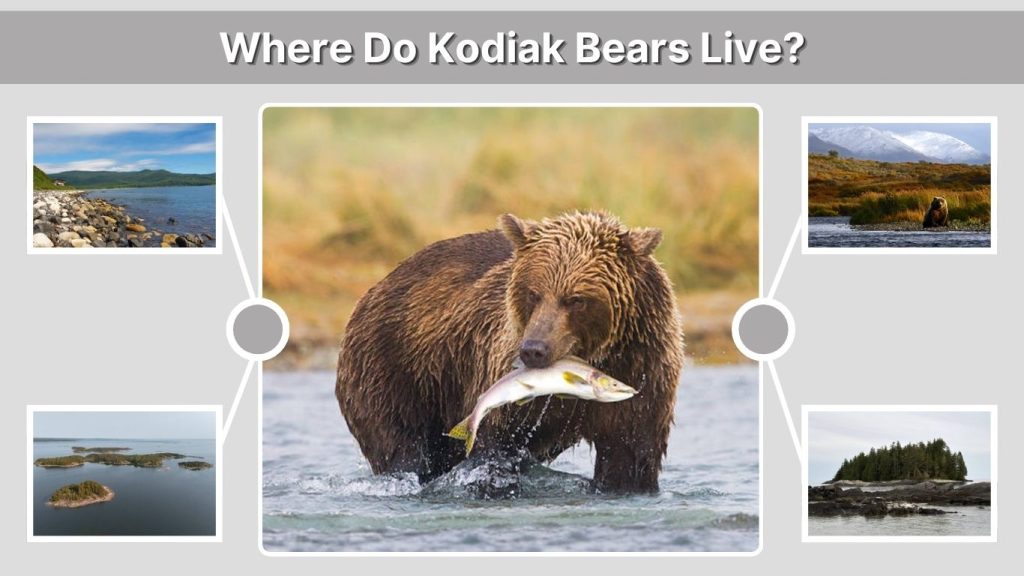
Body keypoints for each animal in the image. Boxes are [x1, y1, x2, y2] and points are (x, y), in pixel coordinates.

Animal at [335, 211, 684, 493]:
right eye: (534, 293)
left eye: (576, 299)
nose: (533, 350)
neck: (598, 355)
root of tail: (374, 289)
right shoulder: (498, 369)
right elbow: (494, 444)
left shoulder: (644, 369)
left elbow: (630, 456)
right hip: (395, 370)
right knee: (403, 448)